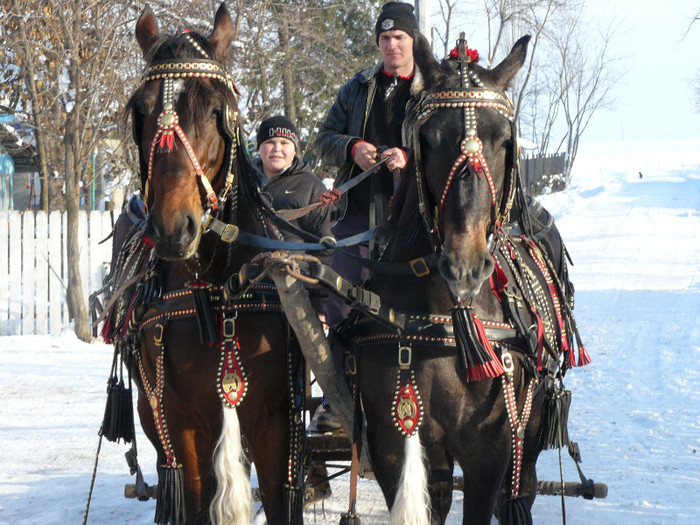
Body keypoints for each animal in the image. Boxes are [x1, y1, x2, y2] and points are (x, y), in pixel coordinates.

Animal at [105, 3, 302, 520]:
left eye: (217, 111)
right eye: (140, 110)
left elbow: (279, 495)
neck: (215, 289)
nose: (174, 228)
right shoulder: (179, 419)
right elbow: (192, 498)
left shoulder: (274, 419)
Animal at [348, 34, 588, 520]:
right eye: (429, 138)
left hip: (532, 427)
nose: (466, 265)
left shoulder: (489, 447)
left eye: (504, 140)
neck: (445, 318)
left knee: (521, 490)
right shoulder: (392, 444)